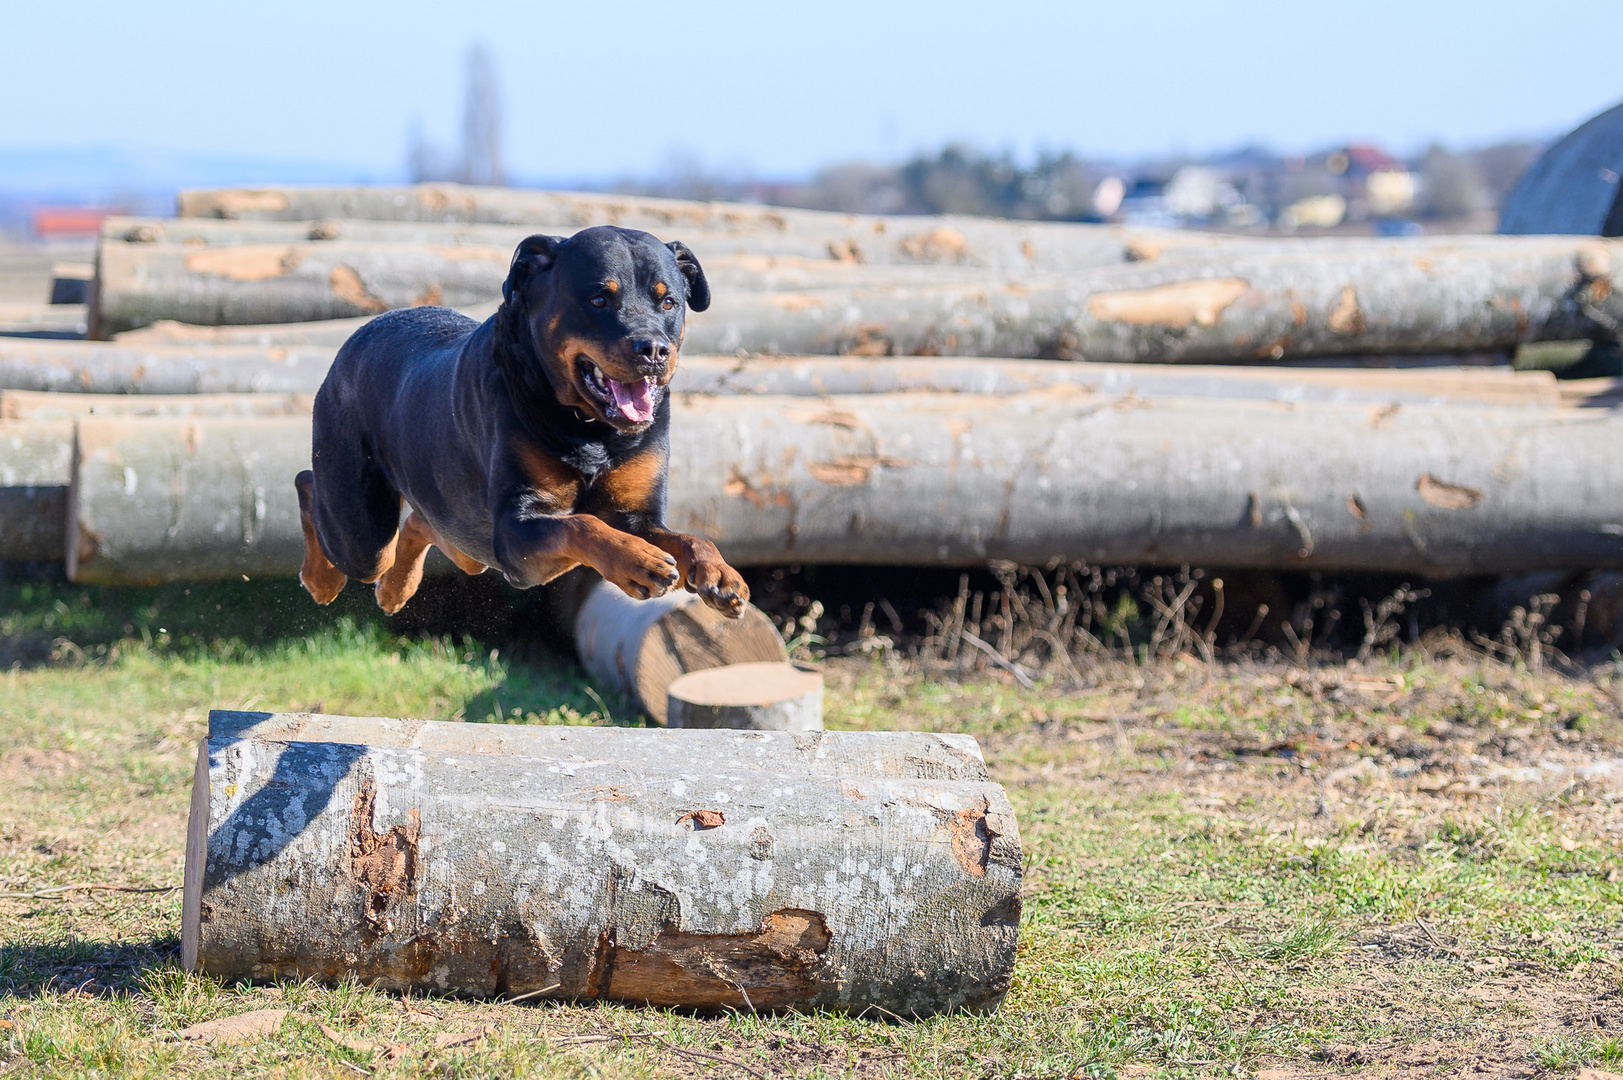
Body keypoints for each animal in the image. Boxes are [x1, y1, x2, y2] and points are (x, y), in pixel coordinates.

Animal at [293, 222, 746, 620]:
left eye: (669, 302)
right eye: (599, 299)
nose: (653, 349)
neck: (588, 429)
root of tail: (358, 334)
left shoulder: (637, 514)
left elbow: (689, 538)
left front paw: (721, 575)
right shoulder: (516, 533)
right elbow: (580, 524)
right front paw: (639, 560)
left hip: (460, 532)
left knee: (422, 525)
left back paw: (394, 589)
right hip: (360, 527)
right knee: (314, 490)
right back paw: (322, 580)